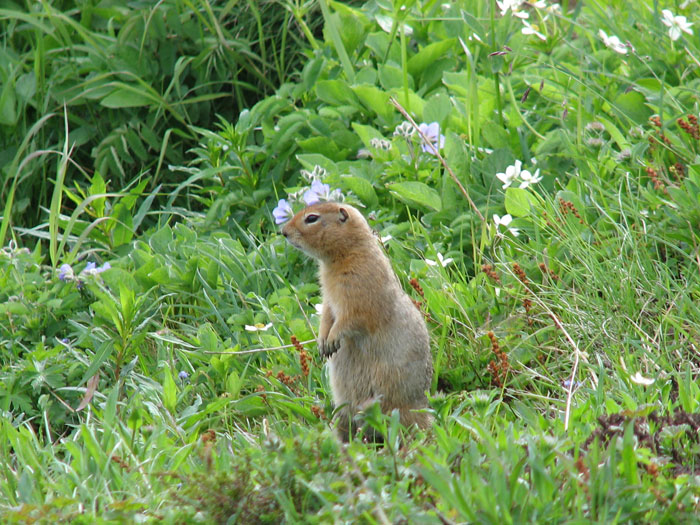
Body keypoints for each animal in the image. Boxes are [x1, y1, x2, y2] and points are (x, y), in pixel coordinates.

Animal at [280, 203, 432, 440]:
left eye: (312, 218)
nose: (283, 232)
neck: (346, 253)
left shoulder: (358, 288)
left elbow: (352, 318)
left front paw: (332, 340)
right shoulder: (329, 298)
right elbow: (327, 315)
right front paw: (323, 342)